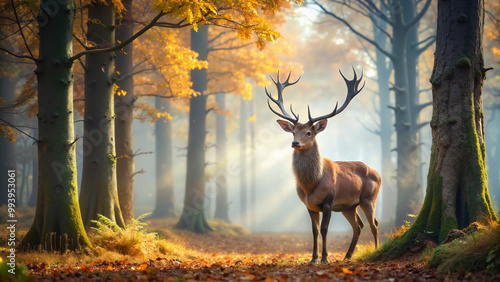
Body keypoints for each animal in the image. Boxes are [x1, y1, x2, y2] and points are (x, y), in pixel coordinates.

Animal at [266, 69, 382, 264]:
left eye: (308, 132)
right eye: (293, 132)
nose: (295, 142)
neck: (310, 185)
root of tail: (378, 174)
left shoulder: (329, 201)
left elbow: (325, 229)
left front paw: (325, 258)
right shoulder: (309, 205)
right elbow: (314, 230)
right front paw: (313, 259)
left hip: (368, 198)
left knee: (374, 224)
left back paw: (376, 250)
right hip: (348, 206)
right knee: (359, 225)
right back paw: (347, 256)